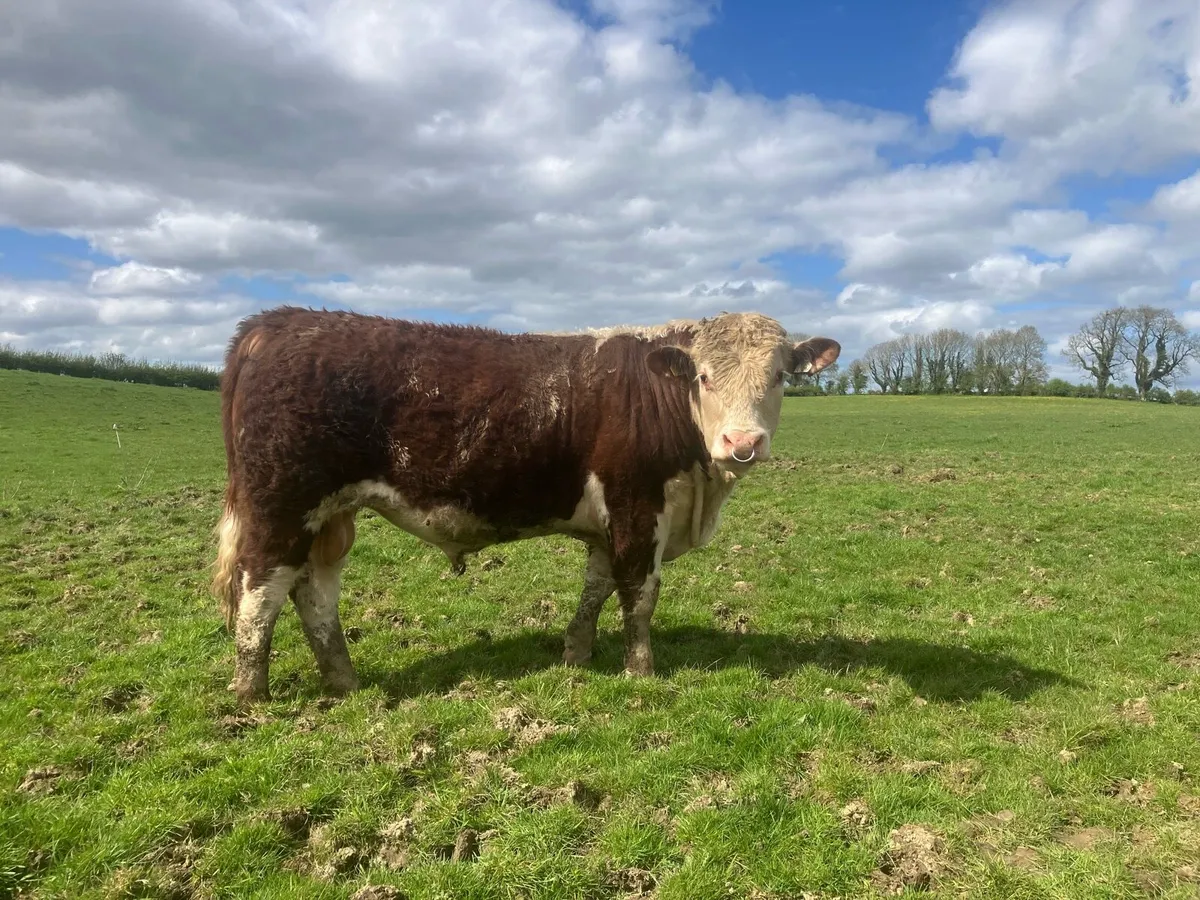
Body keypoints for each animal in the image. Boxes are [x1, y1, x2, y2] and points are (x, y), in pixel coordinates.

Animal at [211, 306, 840, 705]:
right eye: (704, 378)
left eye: (779, 377)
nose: (742, 443)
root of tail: (271, 324)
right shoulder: (637, 507)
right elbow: (639, 595)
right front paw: (640, 671)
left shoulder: (608, 523)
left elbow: (596, 587)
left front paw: (576, 654)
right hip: (281, 504)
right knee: (260, 591)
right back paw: (250, 693)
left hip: (329, 516)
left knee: (314, 591)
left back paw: (343, 681)